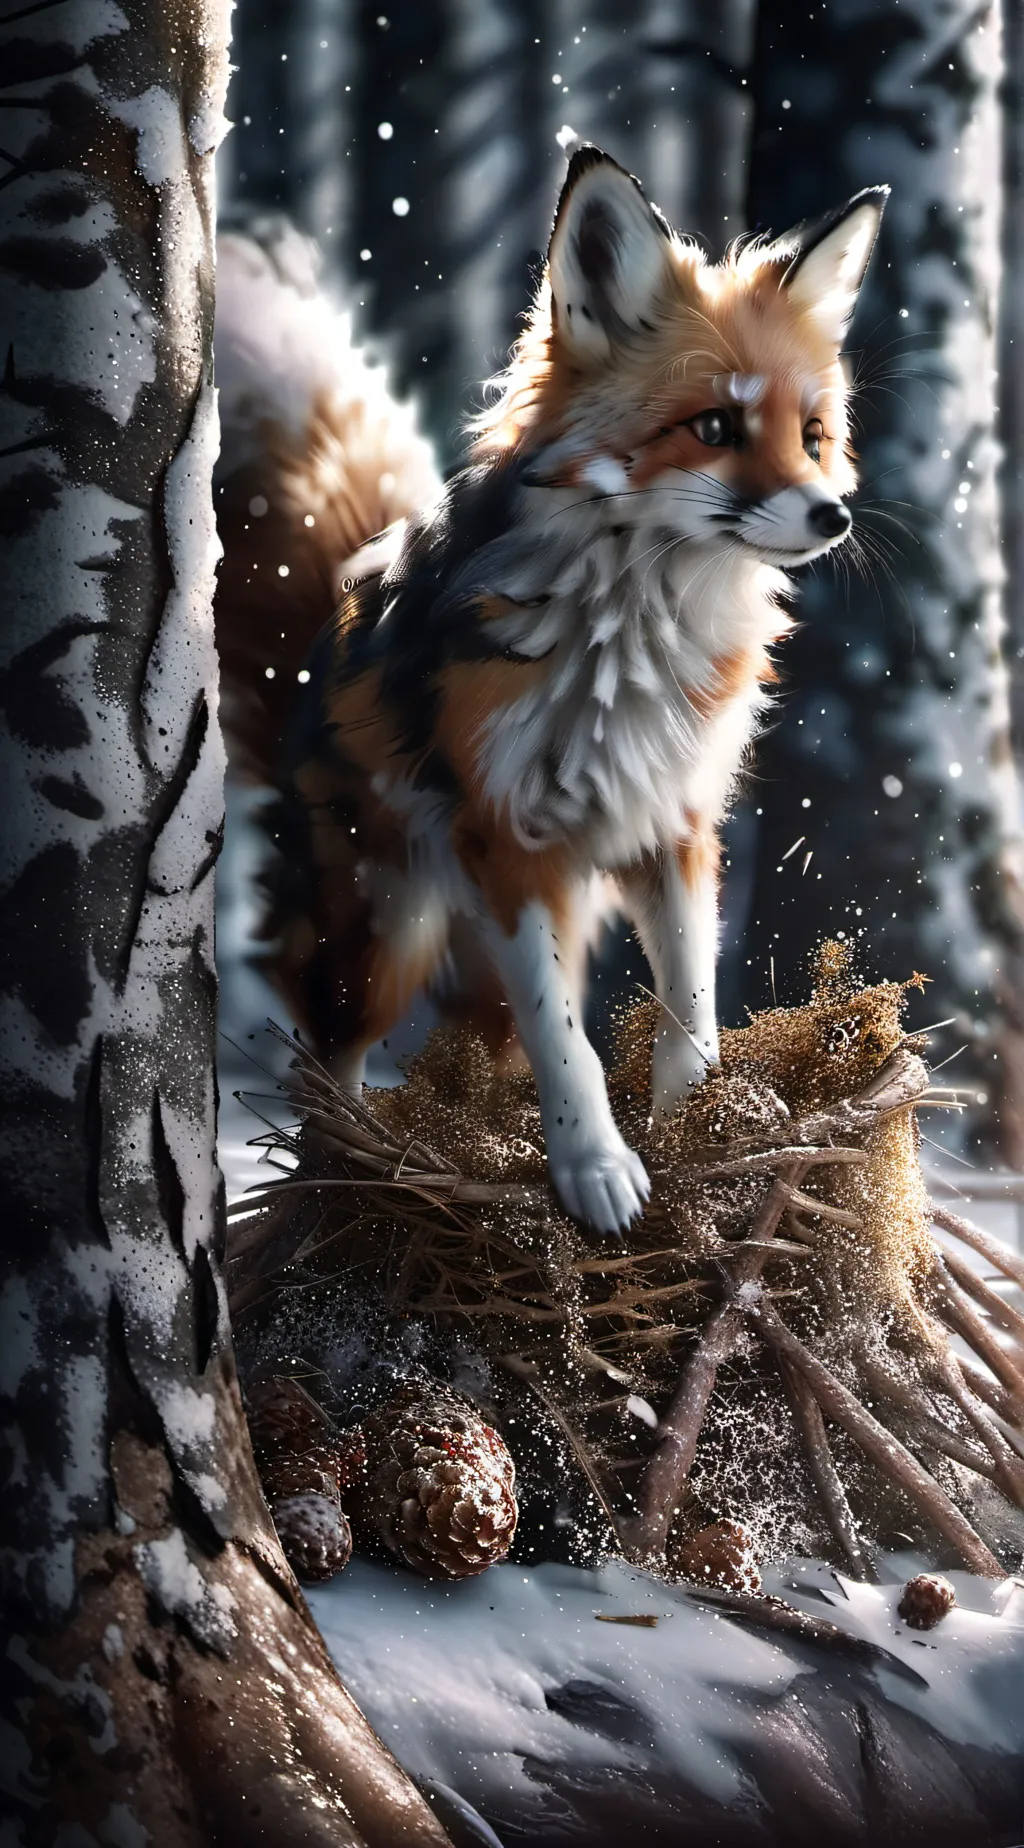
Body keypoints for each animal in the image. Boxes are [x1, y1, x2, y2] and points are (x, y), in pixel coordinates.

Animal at [214, 148, 887, 1237]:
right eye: (715, 425)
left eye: (813, 434)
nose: (834, 516)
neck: (632, 638)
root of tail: (328, 639)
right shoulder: (514, 844)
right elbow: (565, 1041)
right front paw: (594, 1170)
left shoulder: (674, 825)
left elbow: (688, 1010)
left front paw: (691, 1137)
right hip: (383, 940)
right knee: (326, 1061)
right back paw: (345, 1175)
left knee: (479, 1045)